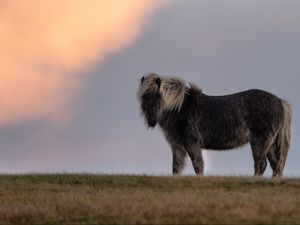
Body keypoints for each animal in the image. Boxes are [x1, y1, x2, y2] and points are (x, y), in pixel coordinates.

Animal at [138, 73, 290, 177]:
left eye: (158, 96)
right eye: (144, 97)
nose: (151, 121)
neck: (180, 108)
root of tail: (279, 101)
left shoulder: (192, 143)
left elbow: (198, 165)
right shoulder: (177, 146)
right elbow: (176, 168)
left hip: (260, 142)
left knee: (261, 164)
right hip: (270, 144)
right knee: (276, 166)